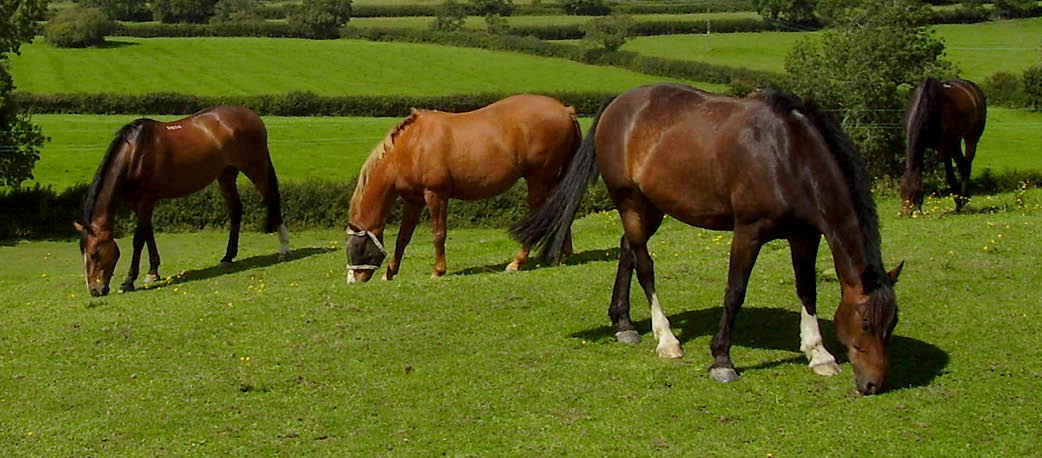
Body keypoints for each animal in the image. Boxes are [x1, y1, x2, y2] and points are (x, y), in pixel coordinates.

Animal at [74, 106, 291, 297]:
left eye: (94, 253)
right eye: (82, 252)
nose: (94, 290)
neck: (135, 153)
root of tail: (253, 116)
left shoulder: (145, 200)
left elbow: (138, 239)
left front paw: (128, 281)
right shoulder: (138, 204)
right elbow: (148, 234)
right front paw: (152, 273)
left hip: (255, 167)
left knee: (272, 199)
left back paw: (284, 249)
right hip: (226, 175)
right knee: (236, 209)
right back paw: (228, 257)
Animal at [345, 94, 581, 283]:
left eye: (357, 247)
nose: (353, 280)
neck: (411, 147)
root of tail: (566, 110)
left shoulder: (436, 195)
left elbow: (438, 234)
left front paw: (438, 271)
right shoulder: (414, 200)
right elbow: (403, 237)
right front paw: (390, 273)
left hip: (538, 178)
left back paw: (518, 262)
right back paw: (560, 255)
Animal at [513, 84, 903, 395]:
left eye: (892, 323)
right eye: (866, 324)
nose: (874, 384)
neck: (787, 155)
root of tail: (618, 103)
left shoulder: (805, 235)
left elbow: (807, 290)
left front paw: (818, 354)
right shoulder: (748, 232)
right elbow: (734, 293)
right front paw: (721, 360)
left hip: (650, 207)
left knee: (627, 251)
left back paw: (624, 324)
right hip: (630, 202)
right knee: (644, 265)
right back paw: (666, 339)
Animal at [900, 77, 987, 214]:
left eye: (914, 192)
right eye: (901, 191)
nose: (904, 213)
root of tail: (972, 87)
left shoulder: (944, 148)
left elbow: (947, 173)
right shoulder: (925, 145)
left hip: (971, 139)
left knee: (966, 166)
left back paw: (963, 200)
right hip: (955, 143)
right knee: (962, 165)